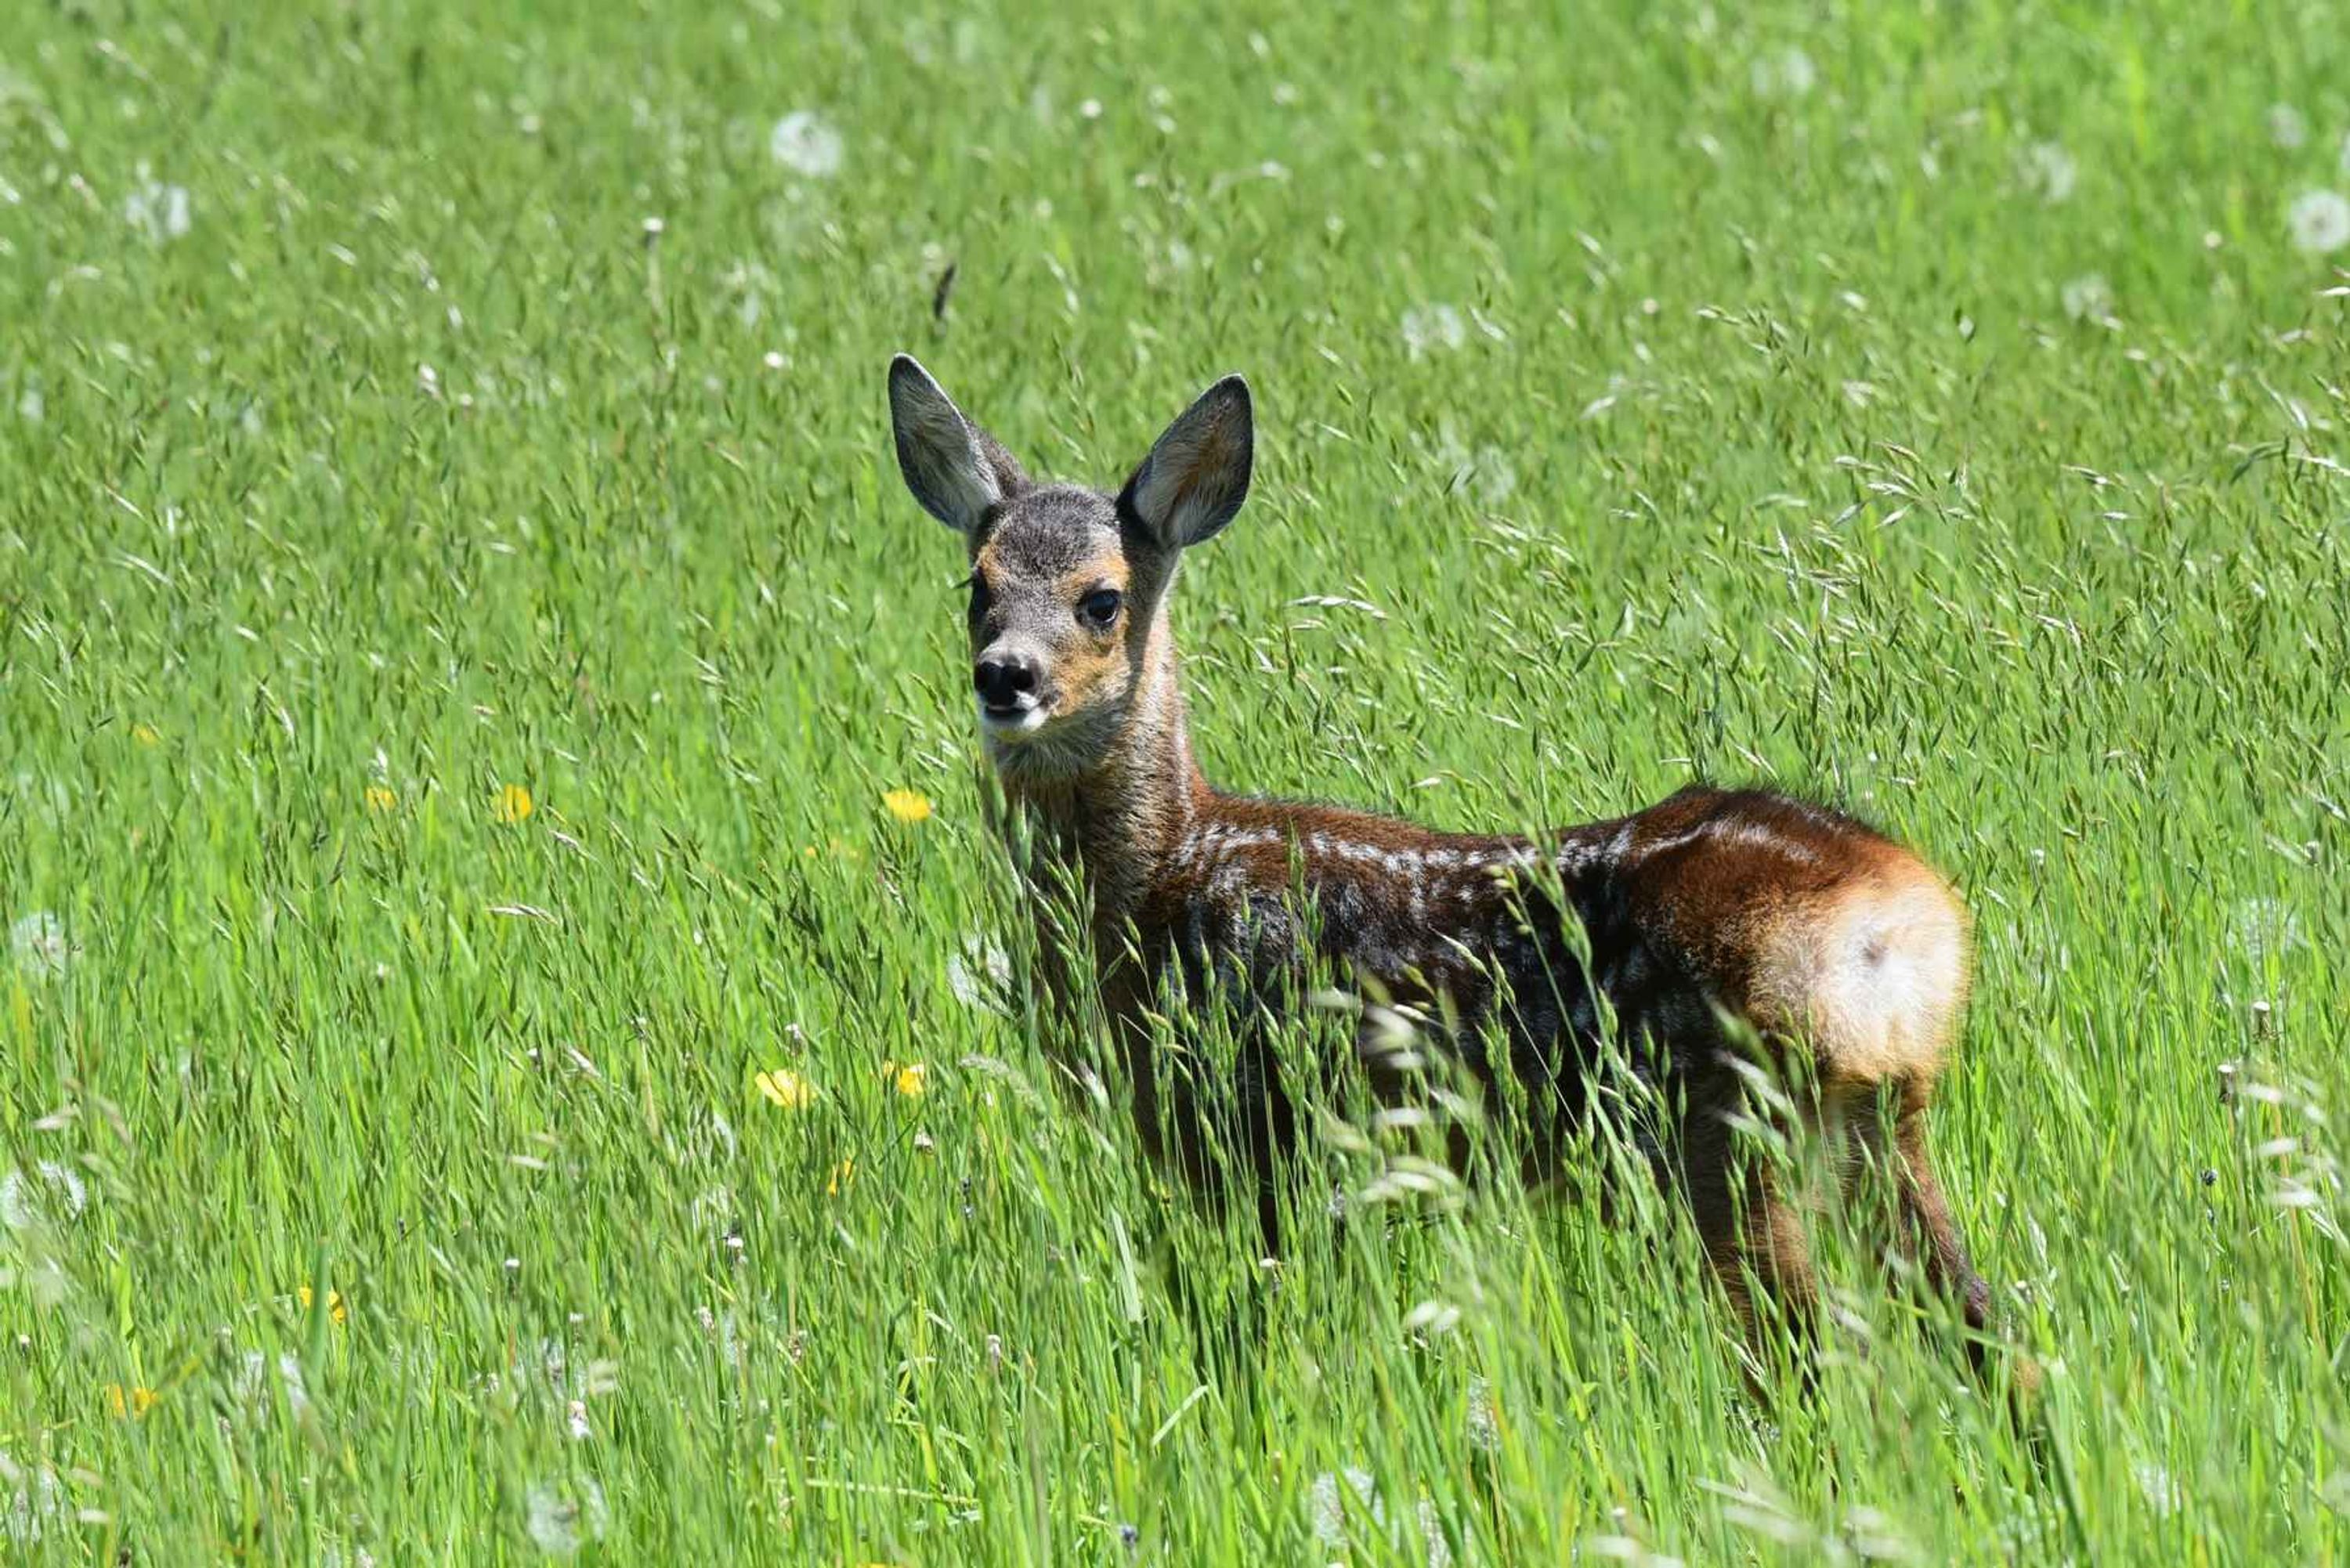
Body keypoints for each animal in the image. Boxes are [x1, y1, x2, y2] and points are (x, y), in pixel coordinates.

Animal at [885, 353, 2027, 1393]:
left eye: (1102, 599)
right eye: (978, 585)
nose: (1006, 675)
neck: (1161, 882)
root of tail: (1901, 922)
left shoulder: (1256, 1132)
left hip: (1726, 1125)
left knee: (1808, 1353)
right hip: (1875, 1123)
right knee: (1988, 1328)